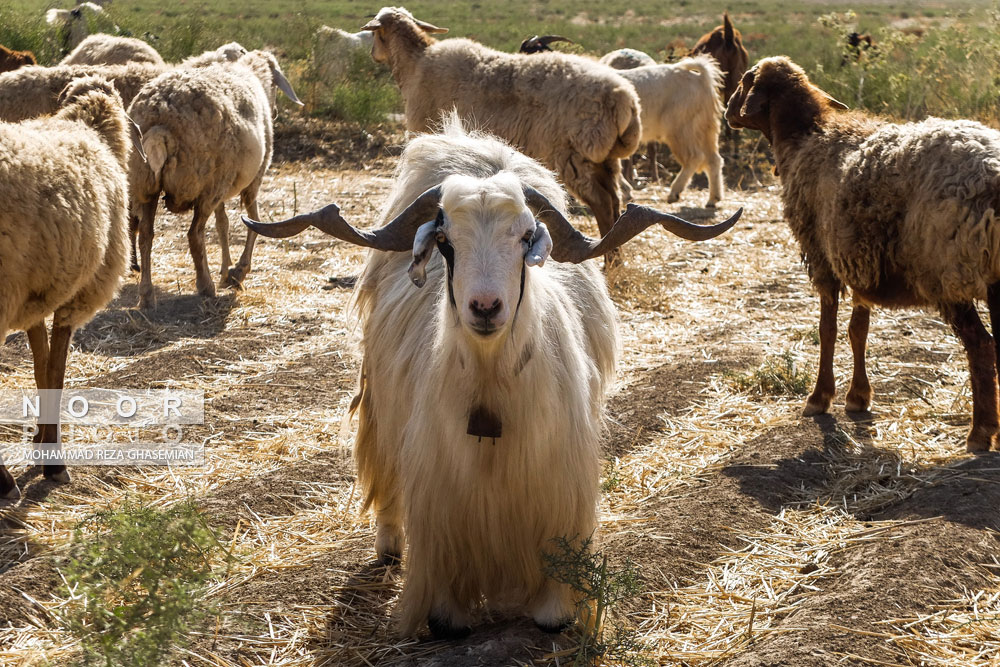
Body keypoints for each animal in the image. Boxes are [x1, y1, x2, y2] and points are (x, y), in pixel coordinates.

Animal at [0, 77, 134, 500]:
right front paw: (54, 462)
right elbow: (56, 372)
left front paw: (41, 442)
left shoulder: (37, 296)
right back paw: (3, 481)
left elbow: (42, 367)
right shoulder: (77, 296)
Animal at [129, 49, 302, 310]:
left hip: (148, 186)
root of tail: (160, 123)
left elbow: (223, 224)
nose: (274, 113)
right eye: (275, 84)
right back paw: (205, 286)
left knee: (146, 235)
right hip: (206, 185)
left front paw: (226, 269)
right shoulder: (252, 180)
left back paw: (147, 296)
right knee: (194, 235)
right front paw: (238, 271)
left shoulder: (224, 184)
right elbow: (254, 221)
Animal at [243, 117, 744, 640]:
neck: (489, 393)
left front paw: (554, 609)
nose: (485, 308)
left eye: (525, 237)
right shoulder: (442, 496)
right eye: (446, 241)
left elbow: (552, 613)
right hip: (384, 404)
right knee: (385, 473)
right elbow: (447, 612)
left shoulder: (556, 489)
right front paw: (445, 610)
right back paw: (390, 547)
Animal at [360, 6, 640, 248]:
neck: (416, 62)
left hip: (574, 153)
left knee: (603, 204)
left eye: (374, 33)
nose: (372, 54)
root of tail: (626, 98)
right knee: (615, 201)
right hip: (603, 157)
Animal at [616, 55, 728, 206]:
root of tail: (701, 78)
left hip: (681, 129)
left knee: (696, 157)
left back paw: (675, 192)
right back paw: (713, 199)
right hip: (705, 127)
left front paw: (627, 192)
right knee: (714, 159)